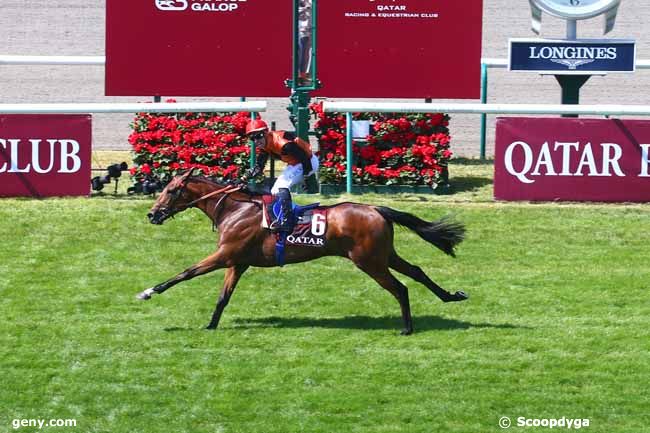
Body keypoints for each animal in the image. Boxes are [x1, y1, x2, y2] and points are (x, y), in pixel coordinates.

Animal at [140, 170, 466, 332]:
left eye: (171, 190)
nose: (152, 215)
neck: (235, 209)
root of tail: (377, 209)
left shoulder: (225, 255)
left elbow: (186, 272)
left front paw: (148, 292)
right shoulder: (237, 262)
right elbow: (223, 297)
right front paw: (211, 324)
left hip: (369, 261)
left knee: (400, 288)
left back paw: (407, 328)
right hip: (384, 255)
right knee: (417, 272)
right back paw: (451, 296)